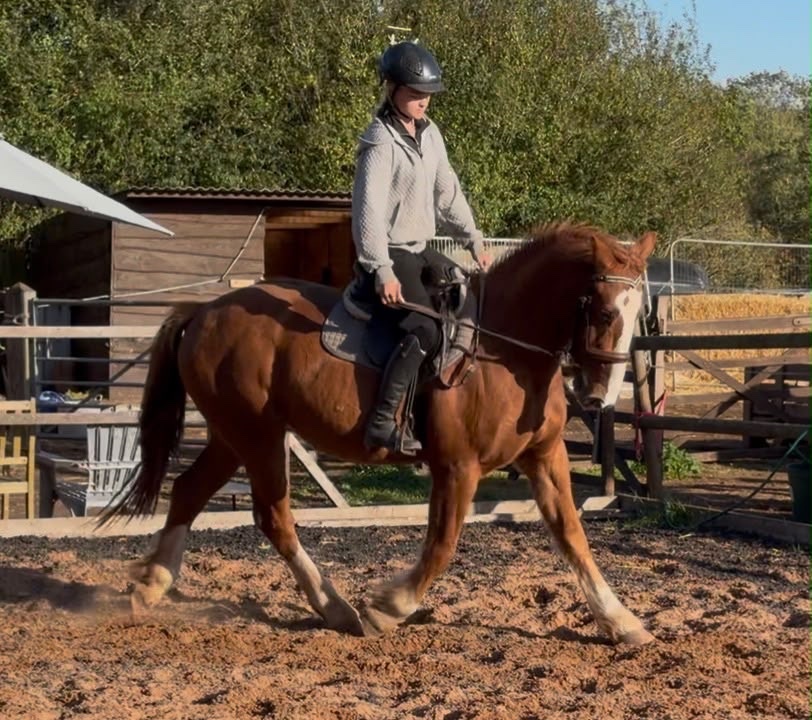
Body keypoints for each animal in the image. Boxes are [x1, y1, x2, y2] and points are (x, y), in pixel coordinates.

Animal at [114, 222, 656, 645]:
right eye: (603, 311)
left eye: (639, 313)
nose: (601, 397)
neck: (503, 352)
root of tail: (204, 312)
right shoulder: (457, 467)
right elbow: (441, 546)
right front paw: (388, 609)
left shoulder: (545, 457)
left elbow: (572, 535)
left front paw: (620, 621)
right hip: (259, 436)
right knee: (274, 518)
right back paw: (336, 608)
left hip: (233, 437)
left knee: (189, 491)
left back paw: (152, 584)